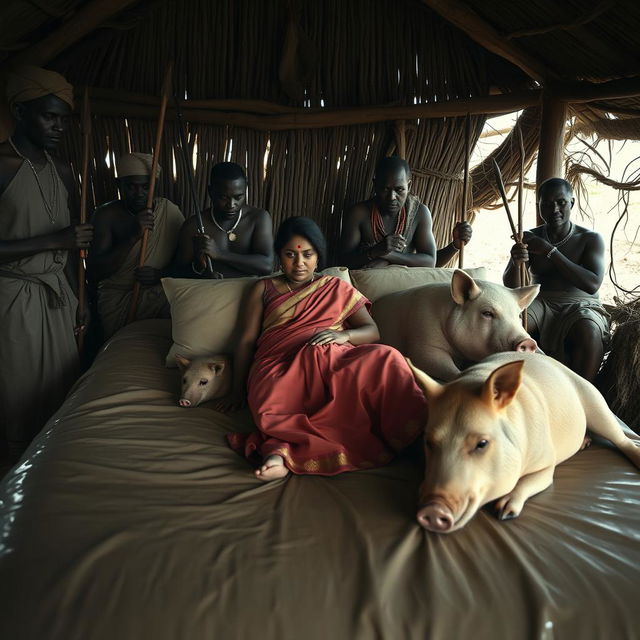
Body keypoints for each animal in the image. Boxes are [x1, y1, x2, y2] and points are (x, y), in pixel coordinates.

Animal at [372, 268, 544, 380]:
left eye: (519, 316)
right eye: (487, 313)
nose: (528, 342)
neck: (459, 354)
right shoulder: (422, 341)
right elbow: (432, 360)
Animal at [408, 352, 640, 532]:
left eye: (482, 443)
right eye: (428, 442)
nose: (432, 509)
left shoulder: (546, 461)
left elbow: (541, 478)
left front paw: (504, 512)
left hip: (594, 401)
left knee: (621, 438)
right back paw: (585, 442)